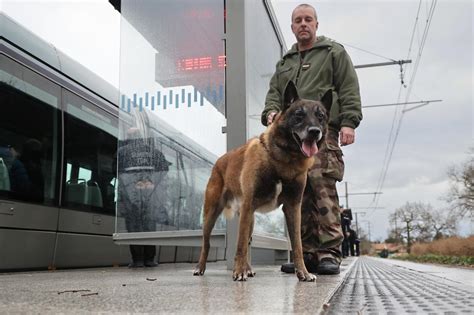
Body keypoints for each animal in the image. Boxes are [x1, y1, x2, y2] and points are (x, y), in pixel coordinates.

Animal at [192, 81, 330, 282]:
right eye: (299, 115)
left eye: (320, 117)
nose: (314, 132)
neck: (283, 160)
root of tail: (220, 161)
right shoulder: (249, 205)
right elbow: (240, 245)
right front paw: (238, 271)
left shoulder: (293, 208)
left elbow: (297, 244)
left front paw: (303, 272)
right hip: (212, 214)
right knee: (208, 243)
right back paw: (201, 268)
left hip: (249, 218)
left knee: (248, 243)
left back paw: (248, 268)